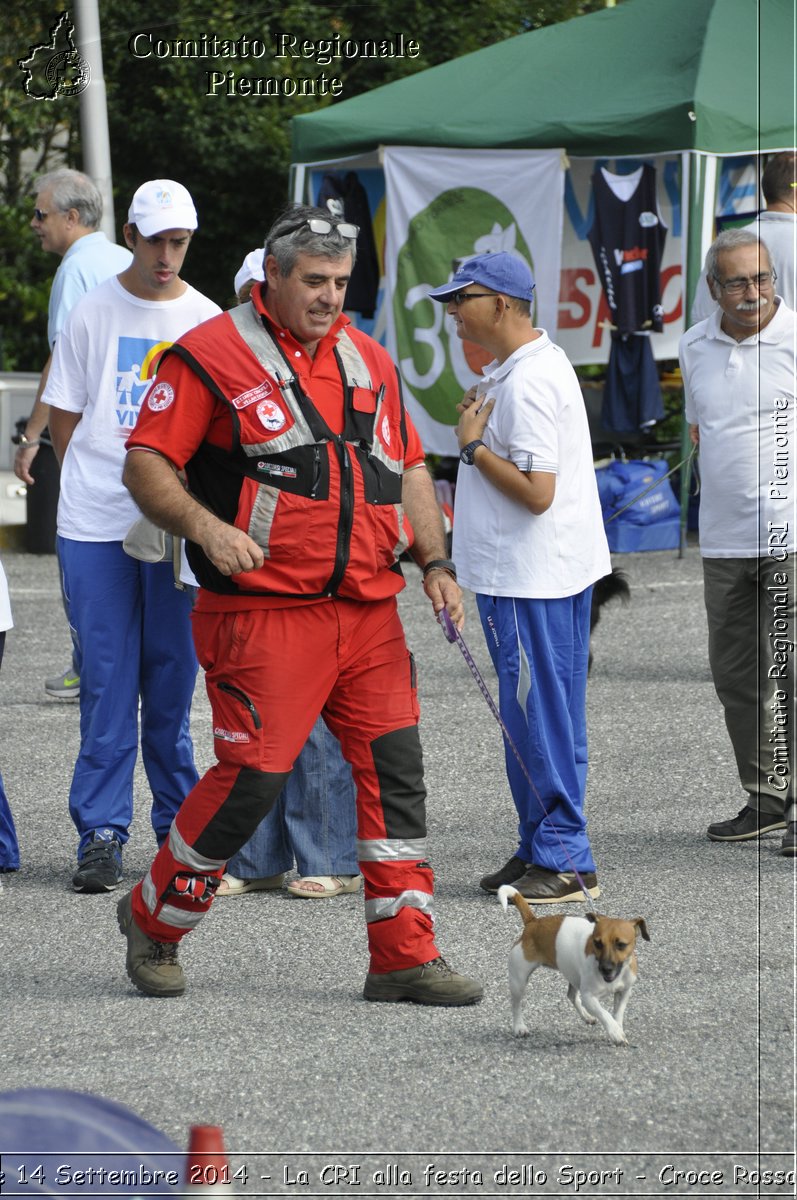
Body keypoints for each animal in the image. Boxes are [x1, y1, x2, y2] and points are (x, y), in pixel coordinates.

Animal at [499, 888, 648, 1046]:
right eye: (597, 943)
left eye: (621, 945)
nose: (605, 968)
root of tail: (532, 922)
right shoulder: (589, 997)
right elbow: (605, 1014)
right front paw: (615, 1032)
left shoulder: (624, 991)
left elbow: (618, 1013)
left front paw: (617, 1028)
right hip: (518, 982)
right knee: (516, 1005)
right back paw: (519, 1027)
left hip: (573, 975)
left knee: (571, 995)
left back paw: (587, 1016)